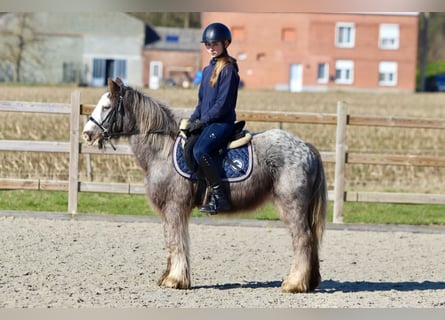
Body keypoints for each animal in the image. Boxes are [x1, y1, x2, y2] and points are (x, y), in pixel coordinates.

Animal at [82, 77, 326, 292]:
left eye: (106, 106)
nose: (86, 134)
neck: (162, 150)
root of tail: (306, 147)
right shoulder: (169, 210)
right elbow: (171, 240)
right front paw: (169, 277)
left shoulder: (175, 206)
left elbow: (176, 241)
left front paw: (175, 280)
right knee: (311, 240)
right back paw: (309, 282)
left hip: (291, 205)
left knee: (302, 239)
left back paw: (294, 283)